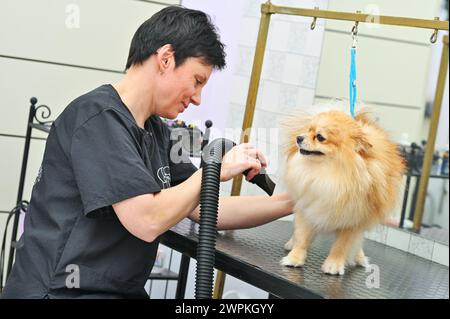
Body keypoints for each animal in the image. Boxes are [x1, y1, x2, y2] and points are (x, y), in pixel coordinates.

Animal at [282, 107, 404, 276]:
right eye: (308, 130)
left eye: (320, 137)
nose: (299, 137)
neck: (329, 175)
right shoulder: (308, 207)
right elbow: (302, 236)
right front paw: (294, 258)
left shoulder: (353, 220)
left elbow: (341, 246)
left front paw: (333, 265)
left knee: (356, 243)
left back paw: (359, 257)